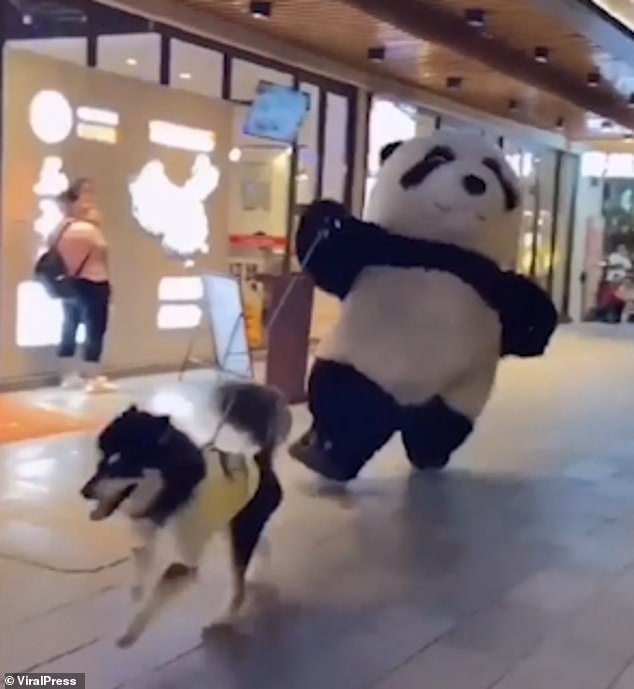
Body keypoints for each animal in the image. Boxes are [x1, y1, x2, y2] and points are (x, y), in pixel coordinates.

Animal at [79, 378, 292, 648]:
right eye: (100, 462)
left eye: (119, 465)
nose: (84, 491)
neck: (173, 490)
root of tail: (260, 459)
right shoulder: (146, 541)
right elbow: (141, 573)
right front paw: (135, 600)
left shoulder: (183, 561)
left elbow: (156, 593)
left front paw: (132, 630)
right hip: (231, 525)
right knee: (258, 548)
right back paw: (254, 573)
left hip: (239, 532)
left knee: (237, 586)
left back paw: (223, 616)